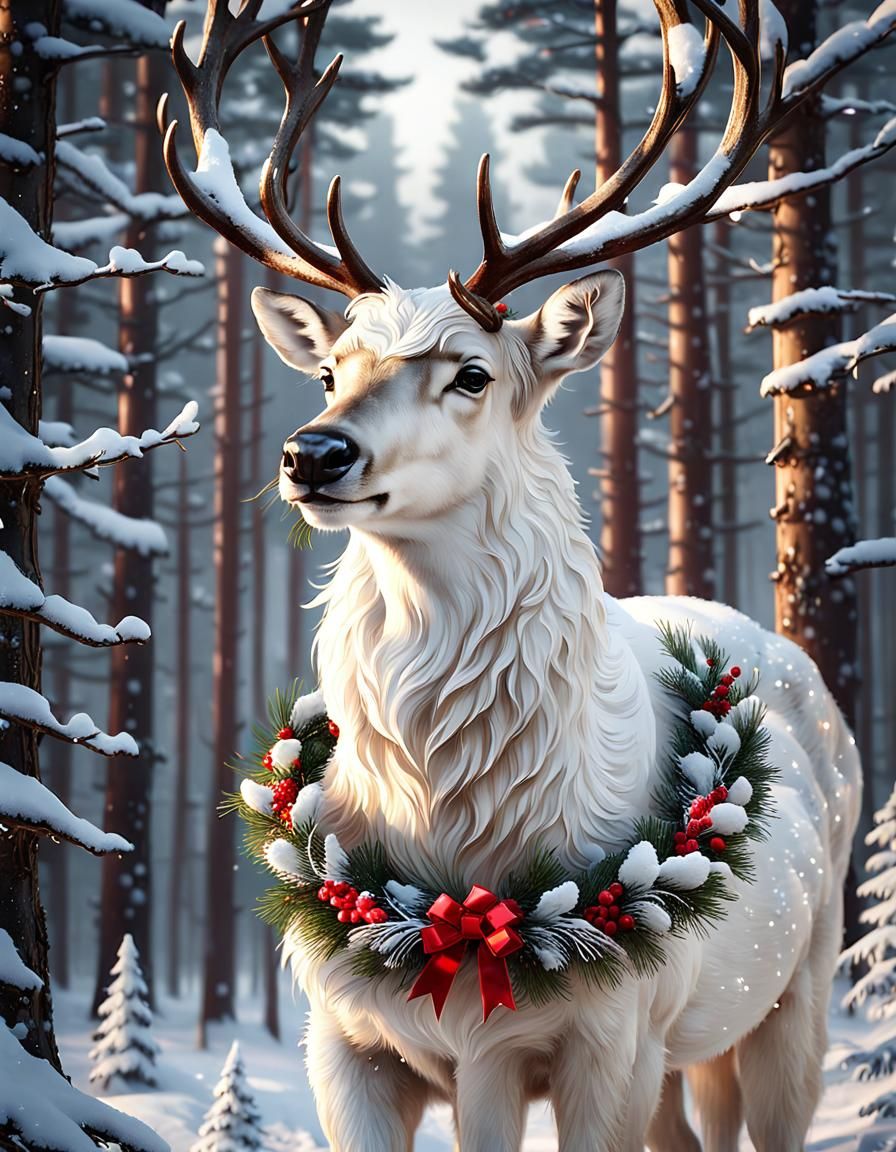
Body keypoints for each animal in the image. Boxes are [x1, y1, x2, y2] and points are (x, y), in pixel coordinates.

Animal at [161, 3, 866, 1150]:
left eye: (472, 374)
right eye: (328, 371)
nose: (313, 453)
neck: (461, 862)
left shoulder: (600, 1038)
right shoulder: (341, 1038)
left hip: (786, 991)